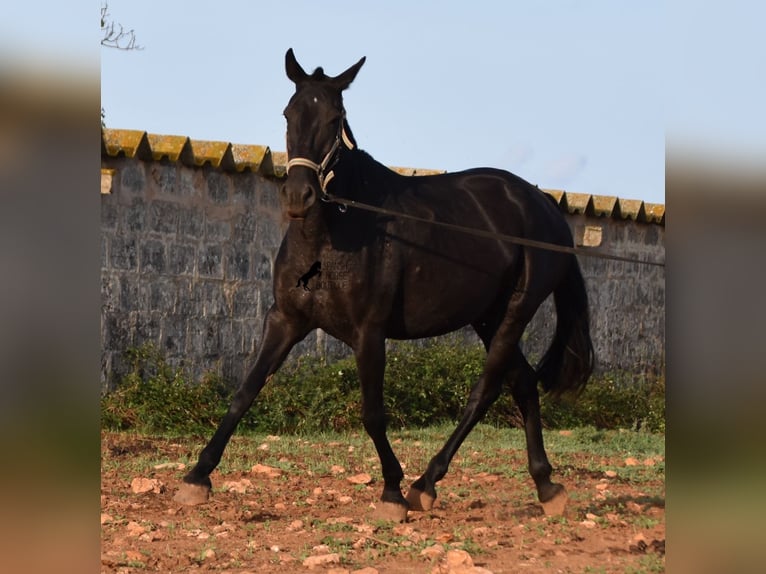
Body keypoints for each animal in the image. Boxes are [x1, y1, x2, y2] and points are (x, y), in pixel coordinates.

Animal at [177, 49, 596, 520]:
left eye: (335, 117)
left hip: (516, 311)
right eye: (288, 112)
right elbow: (245, 392)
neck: (334, 234)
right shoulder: (285, 320)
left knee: (486, 389)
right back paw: (546, 485)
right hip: (487, 317)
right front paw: (197, 477)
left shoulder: (369, 332)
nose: (298, 197)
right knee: (521, 382)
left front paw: (392, 491)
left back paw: (425, 483)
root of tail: (545, 206)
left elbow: (373, 413)